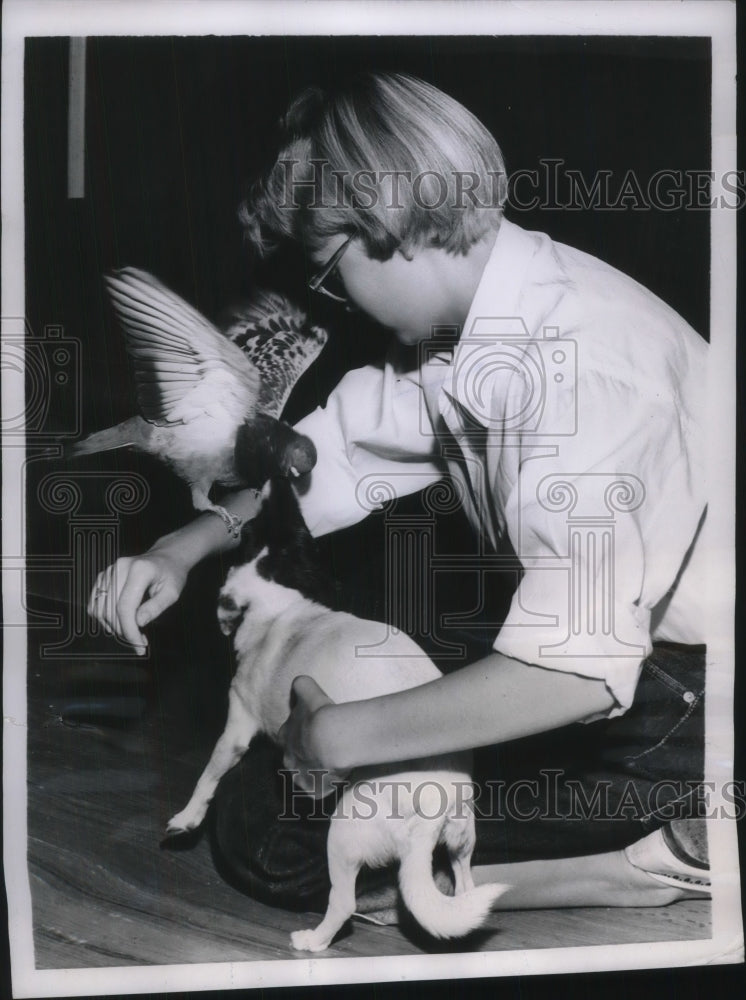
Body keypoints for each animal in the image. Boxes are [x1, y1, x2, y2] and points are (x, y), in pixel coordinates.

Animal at [167, 480, 506, 948]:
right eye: (294, 529)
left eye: (248, 535)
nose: (272, 482)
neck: (281, 605)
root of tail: (432, 811)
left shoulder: (237, 723)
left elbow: (209, 776)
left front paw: (186, 818)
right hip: (460, 840)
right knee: (463, 886)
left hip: (344, 833)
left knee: (343, 902)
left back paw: (312, 940)